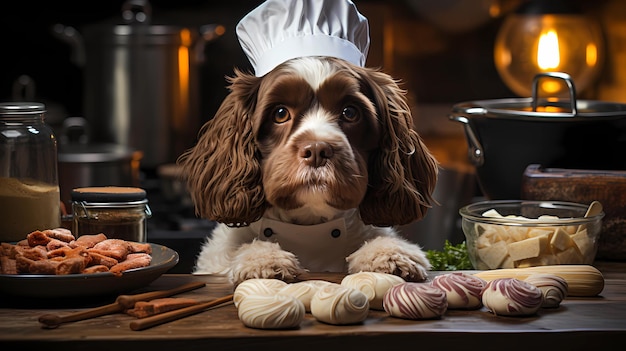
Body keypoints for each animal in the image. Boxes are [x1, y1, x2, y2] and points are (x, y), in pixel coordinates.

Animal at [177, 55, 438, 286]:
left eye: (350, 112)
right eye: (280, 113)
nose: (317, 150)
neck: (309, 225)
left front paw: (388, 254)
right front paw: (263, 260)